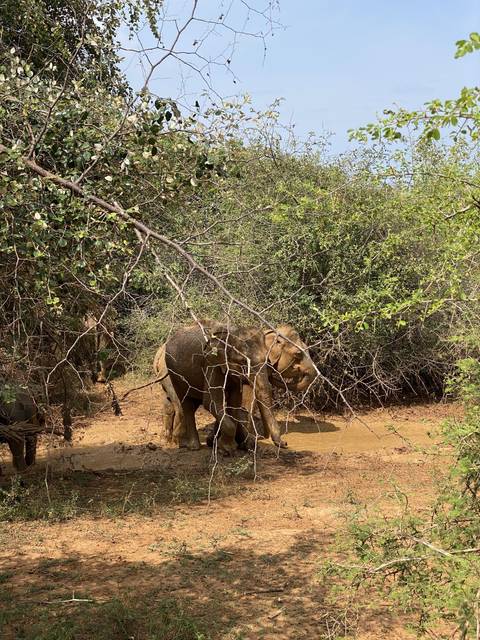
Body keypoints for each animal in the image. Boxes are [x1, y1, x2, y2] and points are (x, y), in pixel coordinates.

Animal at [164, 320, 317, 454]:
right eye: (298, 354)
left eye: (266, 361)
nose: (285, 443)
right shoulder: (212, 364)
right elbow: (213, 402)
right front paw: (228, 449)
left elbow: (236, 403)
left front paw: (239, 445)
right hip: (174, 373)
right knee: (186, 404)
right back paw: (192, 446)